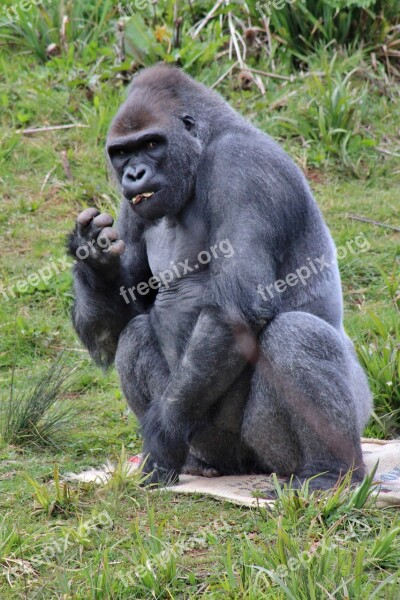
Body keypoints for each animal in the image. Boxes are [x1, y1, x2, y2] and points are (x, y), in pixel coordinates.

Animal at [67, 63, 370, 490]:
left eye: (151, 143)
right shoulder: (134, 207)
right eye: (122, 152)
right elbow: (123, 317)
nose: (134, 174)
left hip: (296, 443)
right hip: (211, 445)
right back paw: (198, 465)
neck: (202, 149)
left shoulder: (242, 167)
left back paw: (331, 472)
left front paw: (161, 436)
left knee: (296, 334)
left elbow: (237, 307)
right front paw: (94, 259)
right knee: (136, 335)